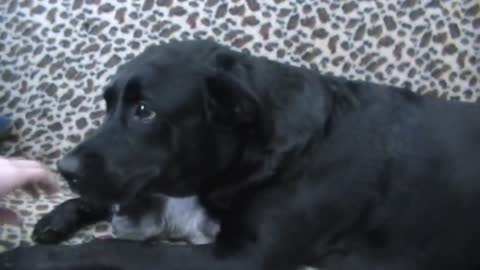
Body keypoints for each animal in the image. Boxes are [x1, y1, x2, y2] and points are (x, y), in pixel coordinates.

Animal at [2, 38, 480, 270]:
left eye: (144, 111)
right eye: (108, 105)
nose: (64, 168)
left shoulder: (237, 257)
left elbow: (115, 252)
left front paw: (27, 259)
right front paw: (61, 214)